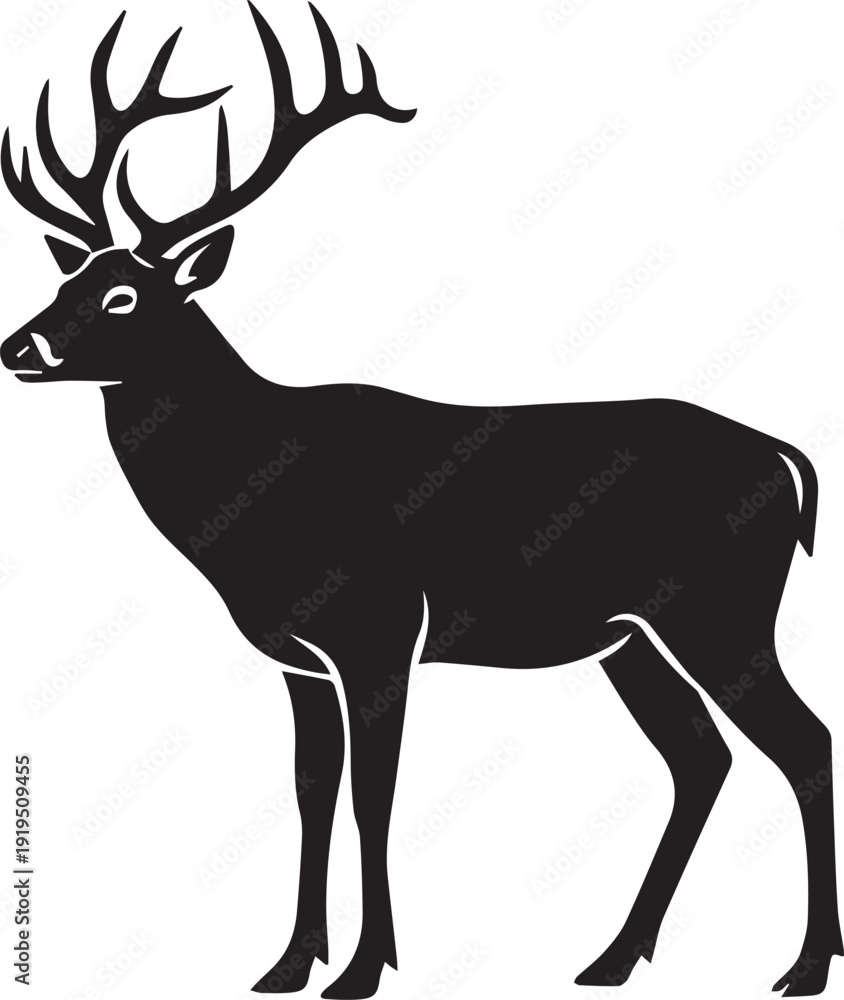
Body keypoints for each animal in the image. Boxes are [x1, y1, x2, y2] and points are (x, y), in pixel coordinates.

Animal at [2, 3, 841, 998]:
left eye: (125, 295)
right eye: (67, 280)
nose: (18, 347)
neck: (254, 502)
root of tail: (790, 461)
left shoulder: (381, 630)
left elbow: (376, 798)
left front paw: (365, 967)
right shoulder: (300, 659)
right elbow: (311, 793)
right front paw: (288, 963)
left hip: (724, 610)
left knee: (803, 741)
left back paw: (804, 964)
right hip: (632, 636)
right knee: (702, 758)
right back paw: (611, 956)